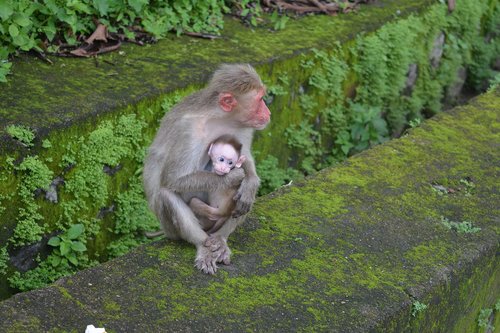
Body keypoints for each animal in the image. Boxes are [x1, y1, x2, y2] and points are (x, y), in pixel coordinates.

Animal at [143, 63, 272, 274]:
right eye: (260, 99)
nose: (268, 113)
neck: (222, 119)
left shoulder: (243, 127)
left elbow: (246, 158)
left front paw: (250, 182)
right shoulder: (189, 131)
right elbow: (173, 179)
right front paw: (232, 177)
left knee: (242, 201)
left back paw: (220, 238)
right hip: (173, 228)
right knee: (166, 194)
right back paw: (203, 245)